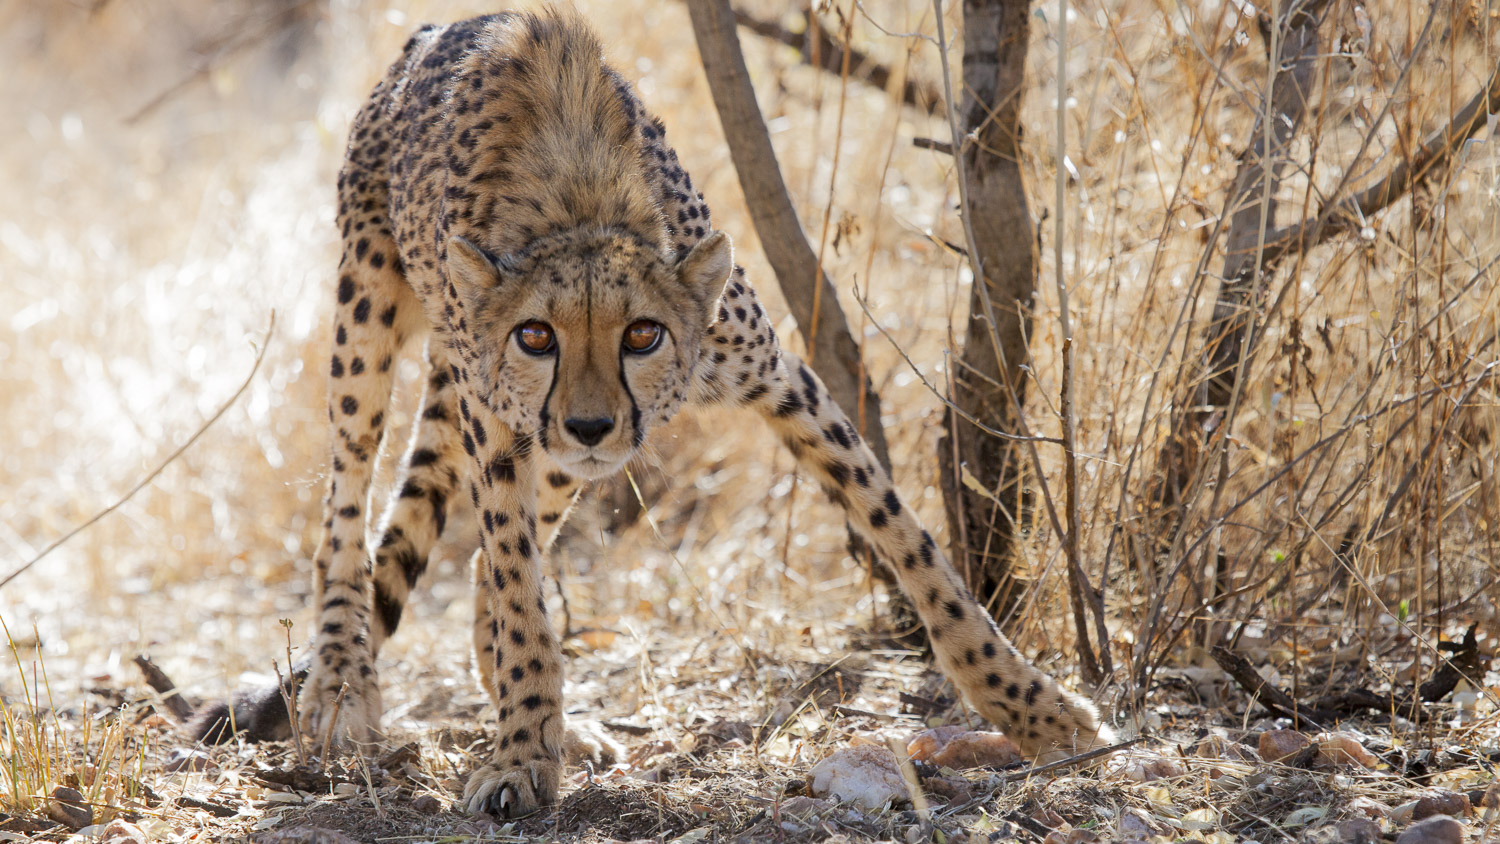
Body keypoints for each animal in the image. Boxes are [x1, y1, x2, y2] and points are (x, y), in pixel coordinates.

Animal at [187, 8, 1116, 821]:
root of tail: (438, 24)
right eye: (536, 335)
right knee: (346, 510)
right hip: (369, 319)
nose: (593, 425)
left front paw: (1038, 711)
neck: (580, 205)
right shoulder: (500, 431)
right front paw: (521, 756)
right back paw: (344, 688)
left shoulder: (785, 384)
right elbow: (521, 593)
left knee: (484, 560)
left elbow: (919, 555)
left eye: (643, 334)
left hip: (537, 442)